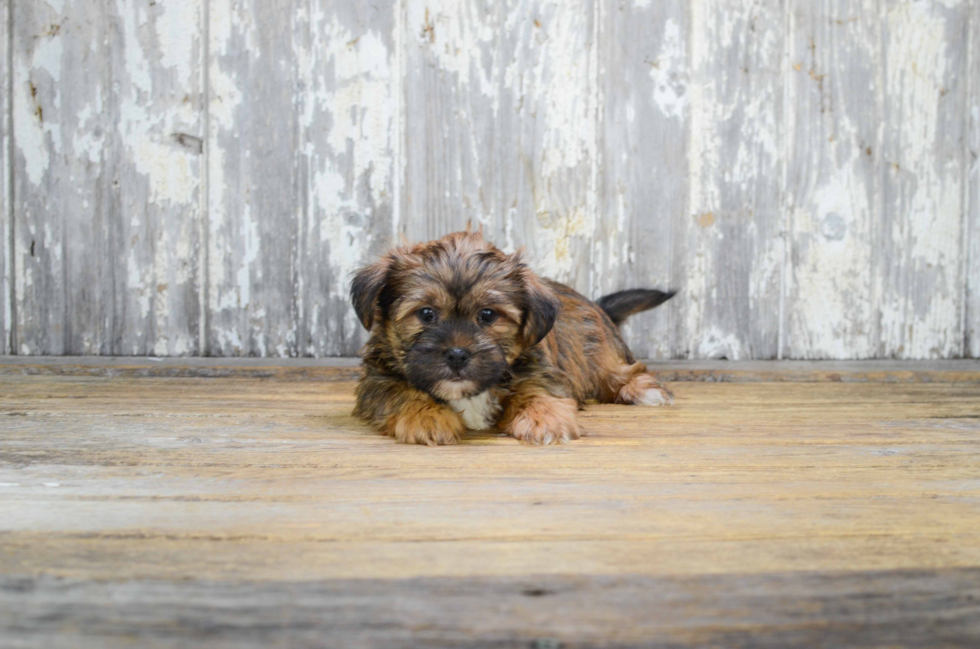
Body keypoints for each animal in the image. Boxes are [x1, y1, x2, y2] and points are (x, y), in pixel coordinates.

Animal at [348, 232, 676, 446]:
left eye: (488, 315)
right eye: (426, 313)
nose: (456, 354)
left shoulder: (539, 369)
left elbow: (537, 390)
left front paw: (544, 418)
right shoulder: (377, 380)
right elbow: (399, 392)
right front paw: (428, 416)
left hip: (597, 354)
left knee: (621, 371)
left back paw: (643, 390)